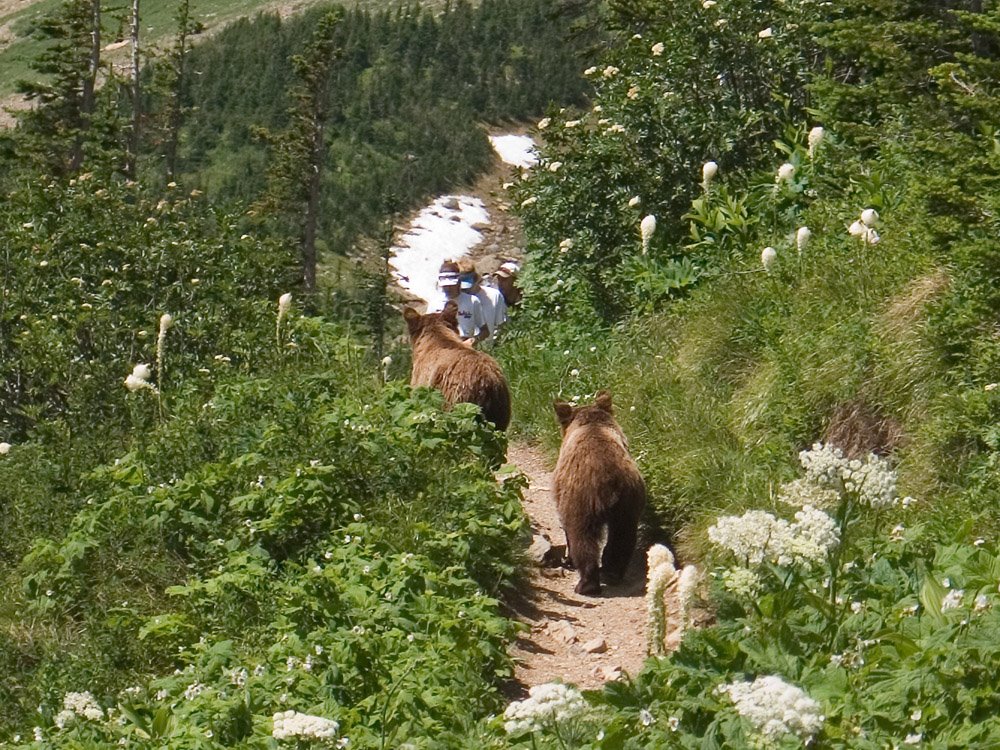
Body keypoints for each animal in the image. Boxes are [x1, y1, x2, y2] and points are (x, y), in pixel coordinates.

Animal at [552, 394, 644, 600]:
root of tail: (610, 481)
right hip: (628, 501)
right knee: (623, 536)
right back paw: (612, 572)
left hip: (582, 499)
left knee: (582, 537)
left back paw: (586, 584)